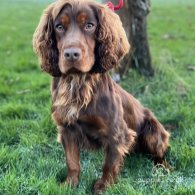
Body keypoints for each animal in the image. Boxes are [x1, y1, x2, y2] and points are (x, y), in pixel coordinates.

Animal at [32, 0, 170, 193]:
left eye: (89, 25)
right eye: (59, 27)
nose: (71, 54)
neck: (78, 83)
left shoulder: (116, 132)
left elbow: (109, 163)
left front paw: (103, 186)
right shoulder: (67, 128)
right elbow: (72, 162)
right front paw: (69, 184)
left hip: (153, 130)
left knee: (160, 153)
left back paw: (163, 168)